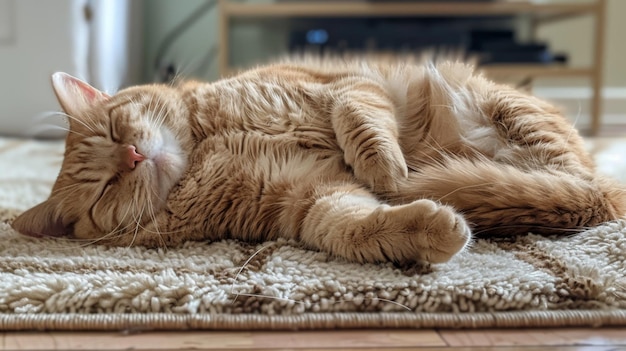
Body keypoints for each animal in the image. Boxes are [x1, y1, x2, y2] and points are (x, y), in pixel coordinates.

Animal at [11, 55, 624, 264]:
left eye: (115, 130)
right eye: (103, 189)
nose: (135, 156)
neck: (207, 146)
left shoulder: (340, 85)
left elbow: (359, 120)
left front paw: (386, 168)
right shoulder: (305, 198)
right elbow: (354, 227)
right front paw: (426, 229)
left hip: (495, 110)